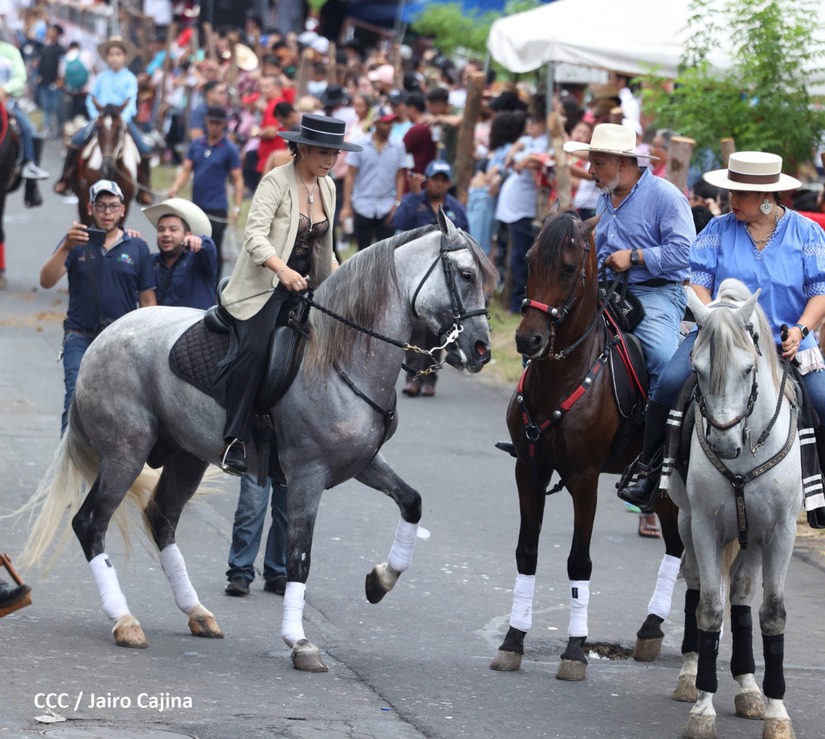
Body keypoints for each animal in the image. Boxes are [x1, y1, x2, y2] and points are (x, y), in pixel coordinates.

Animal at [21, 213, 498, 672]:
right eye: (465, 275)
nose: (480, 349)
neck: (340, 359)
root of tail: (103, 337)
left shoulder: (363, 463)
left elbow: (411, 502)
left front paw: (380, 580)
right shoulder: (307, 476)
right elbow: (299, 558)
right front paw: (300, 642)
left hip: (186, 458)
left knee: (161, 519)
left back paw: (196, 612)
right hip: (126, 454)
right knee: (90, 524)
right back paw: (124, 620)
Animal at [489, 211, 685, 680]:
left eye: (567, 268)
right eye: (527, 259)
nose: (529, 340)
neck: (565, 375)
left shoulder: (585, 479)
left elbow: (579, 561)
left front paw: (575, 650)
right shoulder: (529, 470)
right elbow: (526, 552)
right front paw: (513, 640)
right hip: (664, 490)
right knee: (677, 547)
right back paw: (651, 630)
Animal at [666, 280, 802, 739]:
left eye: (748, 368)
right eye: (697, 369)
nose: (724, 444)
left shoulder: (779, 533)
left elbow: (772, 616)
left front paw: (776, 713)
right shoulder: (706, 529)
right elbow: (708, 609)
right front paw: (702, 708)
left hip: (754, 537)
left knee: (742, 595)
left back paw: (748, 686)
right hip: (686, 523)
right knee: (695, 586)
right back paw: (689, 676)